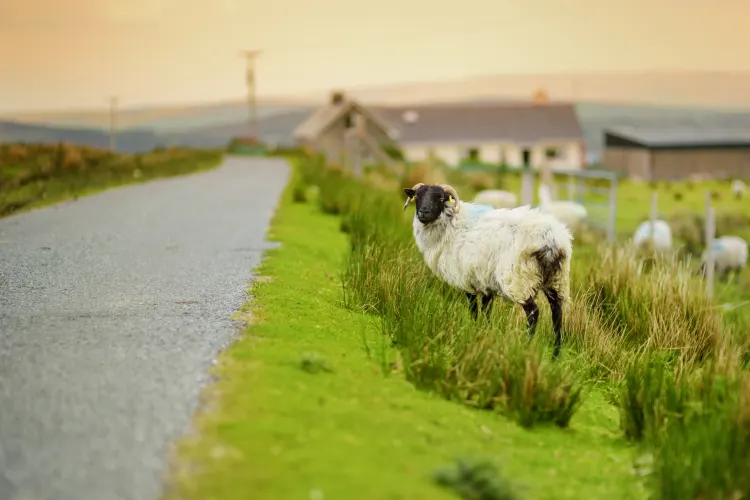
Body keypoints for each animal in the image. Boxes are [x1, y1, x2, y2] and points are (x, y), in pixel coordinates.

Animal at [402, 182, 573, 358]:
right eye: (417, 196)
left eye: (441, 198)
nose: (423, 212)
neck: (451, 225)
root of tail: (551, 239)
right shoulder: (486, 283)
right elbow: (486, 311)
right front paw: (486, 333)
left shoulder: (466, 280)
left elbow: (474, 310)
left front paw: (474, 331)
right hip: (557, 279)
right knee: (557, 314)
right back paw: (555, 355)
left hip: (519, 278)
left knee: (533, 313)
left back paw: (527, 347)